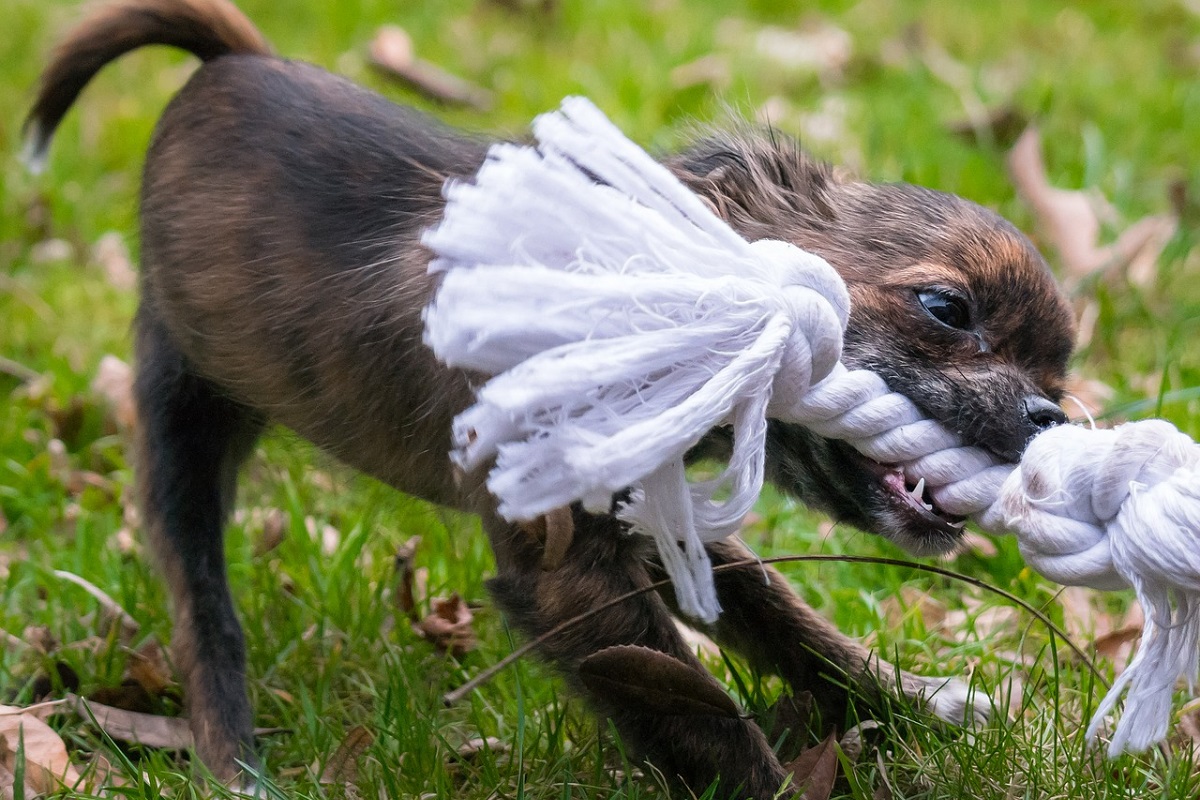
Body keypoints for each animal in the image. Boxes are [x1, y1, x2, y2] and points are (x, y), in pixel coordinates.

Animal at [28, 3, 1075, 796]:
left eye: (1060, 374)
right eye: (946, 309)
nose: (1051, 420)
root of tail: (228, 64)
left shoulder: (655, 518)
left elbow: (790, 625)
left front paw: (917, 704)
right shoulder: (568, 576)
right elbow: (705, 718)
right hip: (180, 423)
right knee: (202, 603)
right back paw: (233, 759)